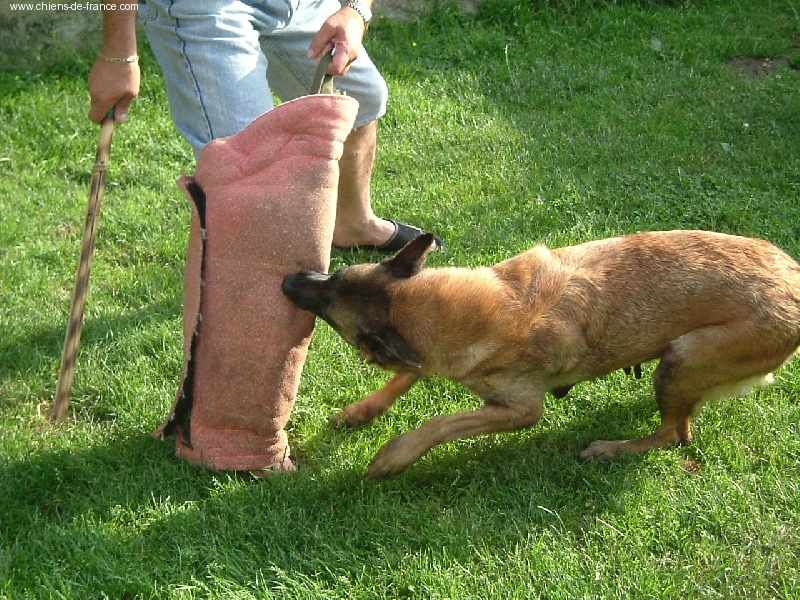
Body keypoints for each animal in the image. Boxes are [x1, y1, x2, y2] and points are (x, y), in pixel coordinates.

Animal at [282, 230, 800, 478]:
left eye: (330, 312)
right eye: (334, 278)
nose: (289, 279)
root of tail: (793, 281)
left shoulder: (520, 409)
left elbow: (441, 423)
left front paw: (395, 455)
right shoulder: (425, 357)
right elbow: (407, 374)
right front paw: (361, 411)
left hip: (682, 358)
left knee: (676, 436)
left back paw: (611, 448)